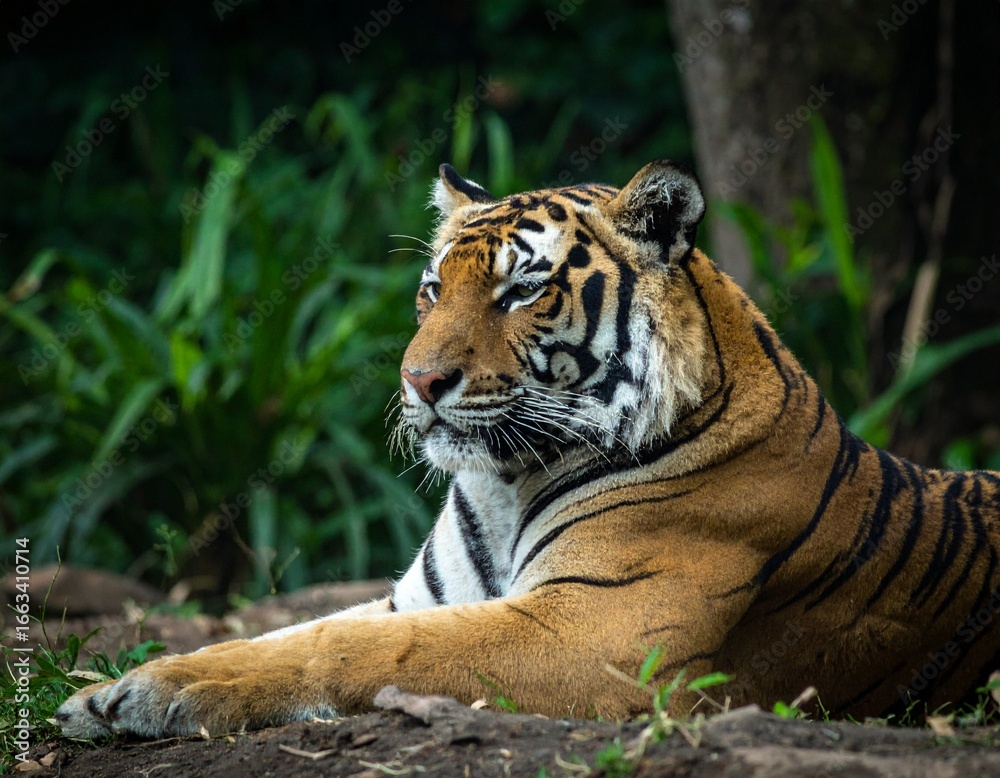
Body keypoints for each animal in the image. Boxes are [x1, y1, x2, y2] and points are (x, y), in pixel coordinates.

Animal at [58, 160, 1000, 739]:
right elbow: (281, 635)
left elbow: (359, 650)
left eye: (520, 291)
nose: (420, 380)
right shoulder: (418, 597)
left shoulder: (596, 631)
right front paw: (110, 694)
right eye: (432, 289)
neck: (502, 482)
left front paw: (163, 695)